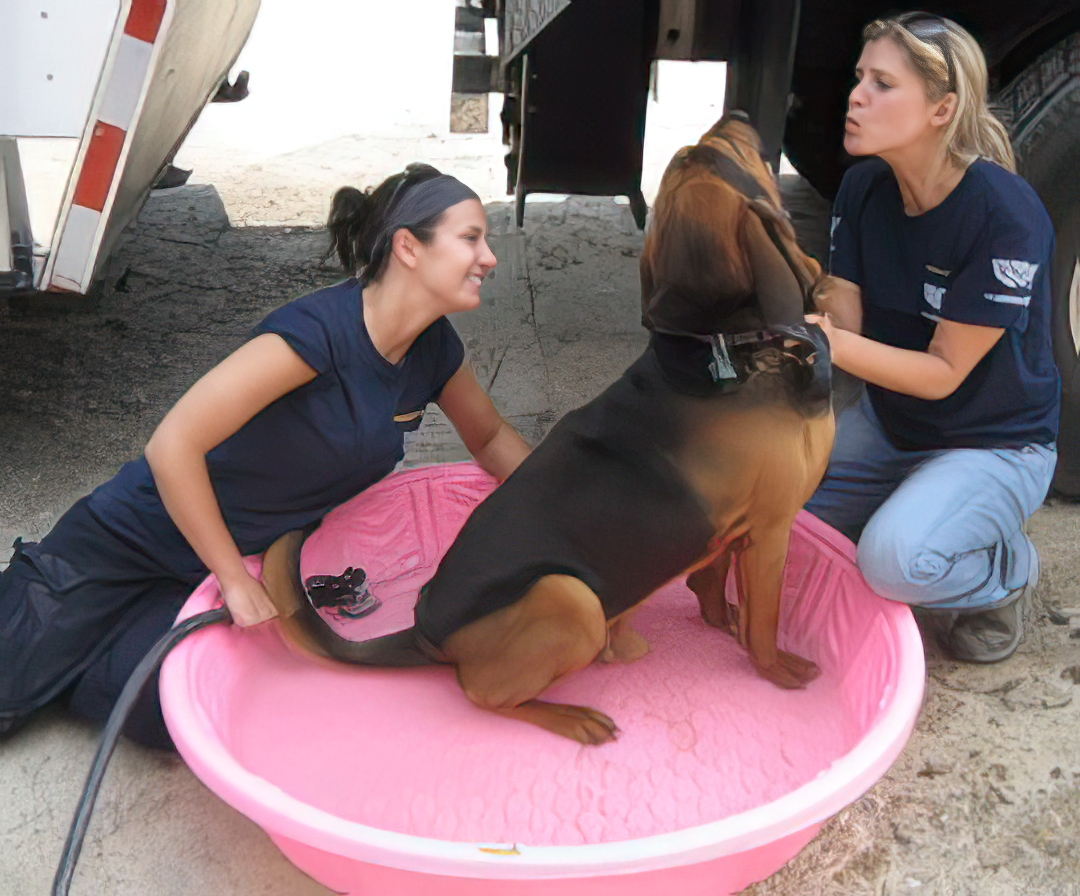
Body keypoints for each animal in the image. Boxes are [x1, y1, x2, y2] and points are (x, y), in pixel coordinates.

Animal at [261, 115, 833, 747]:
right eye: (718, 155)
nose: (739, 118)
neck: (723, 346)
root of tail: (424, 632)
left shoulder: (731, 532)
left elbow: (713, 585)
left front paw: (719, 620)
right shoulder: (771, 531)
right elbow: (765, 620)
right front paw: (778, 669)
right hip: (571, 597)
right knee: (481, 692)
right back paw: (573, 716)